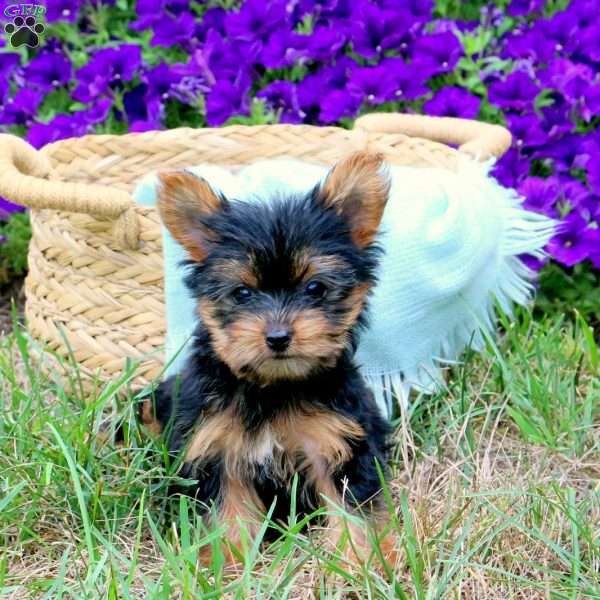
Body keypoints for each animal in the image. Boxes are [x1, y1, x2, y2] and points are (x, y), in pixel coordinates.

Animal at [142, 150, 398, 568]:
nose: (277, 337)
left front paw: (359, 558)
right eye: (242, 293)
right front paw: (227, 561)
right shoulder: (216, 447)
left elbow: (350, 504)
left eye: (315, 288)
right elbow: (227, 508)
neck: (272, 386)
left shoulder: (335, 441)